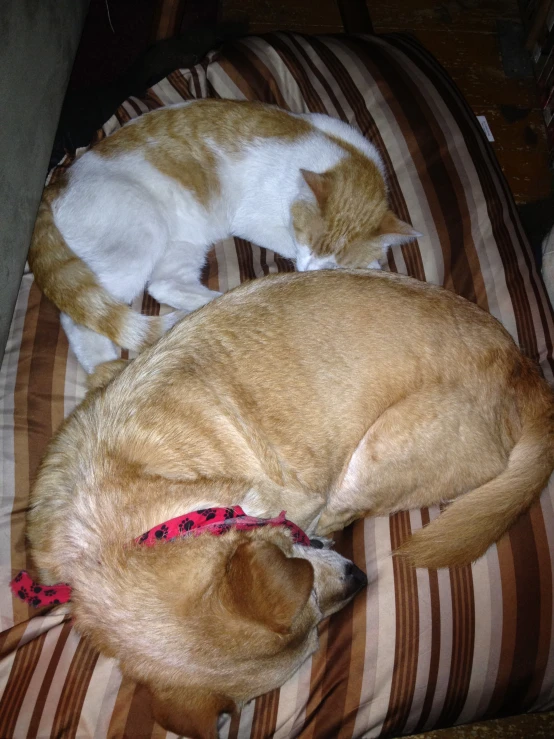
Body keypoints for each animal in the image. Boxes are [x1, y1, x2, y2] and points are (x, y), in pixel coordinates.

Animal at [29, 99, 418, 370]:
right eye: (306, 240)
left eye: (334, 261)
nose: (308, 272)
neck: (341, 157)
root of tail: (56, 182)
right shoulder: (254, 221)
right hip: (138, 243)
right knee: (81, 317)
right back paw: (105, 368)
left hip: (184, 244)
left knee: (163, 286)